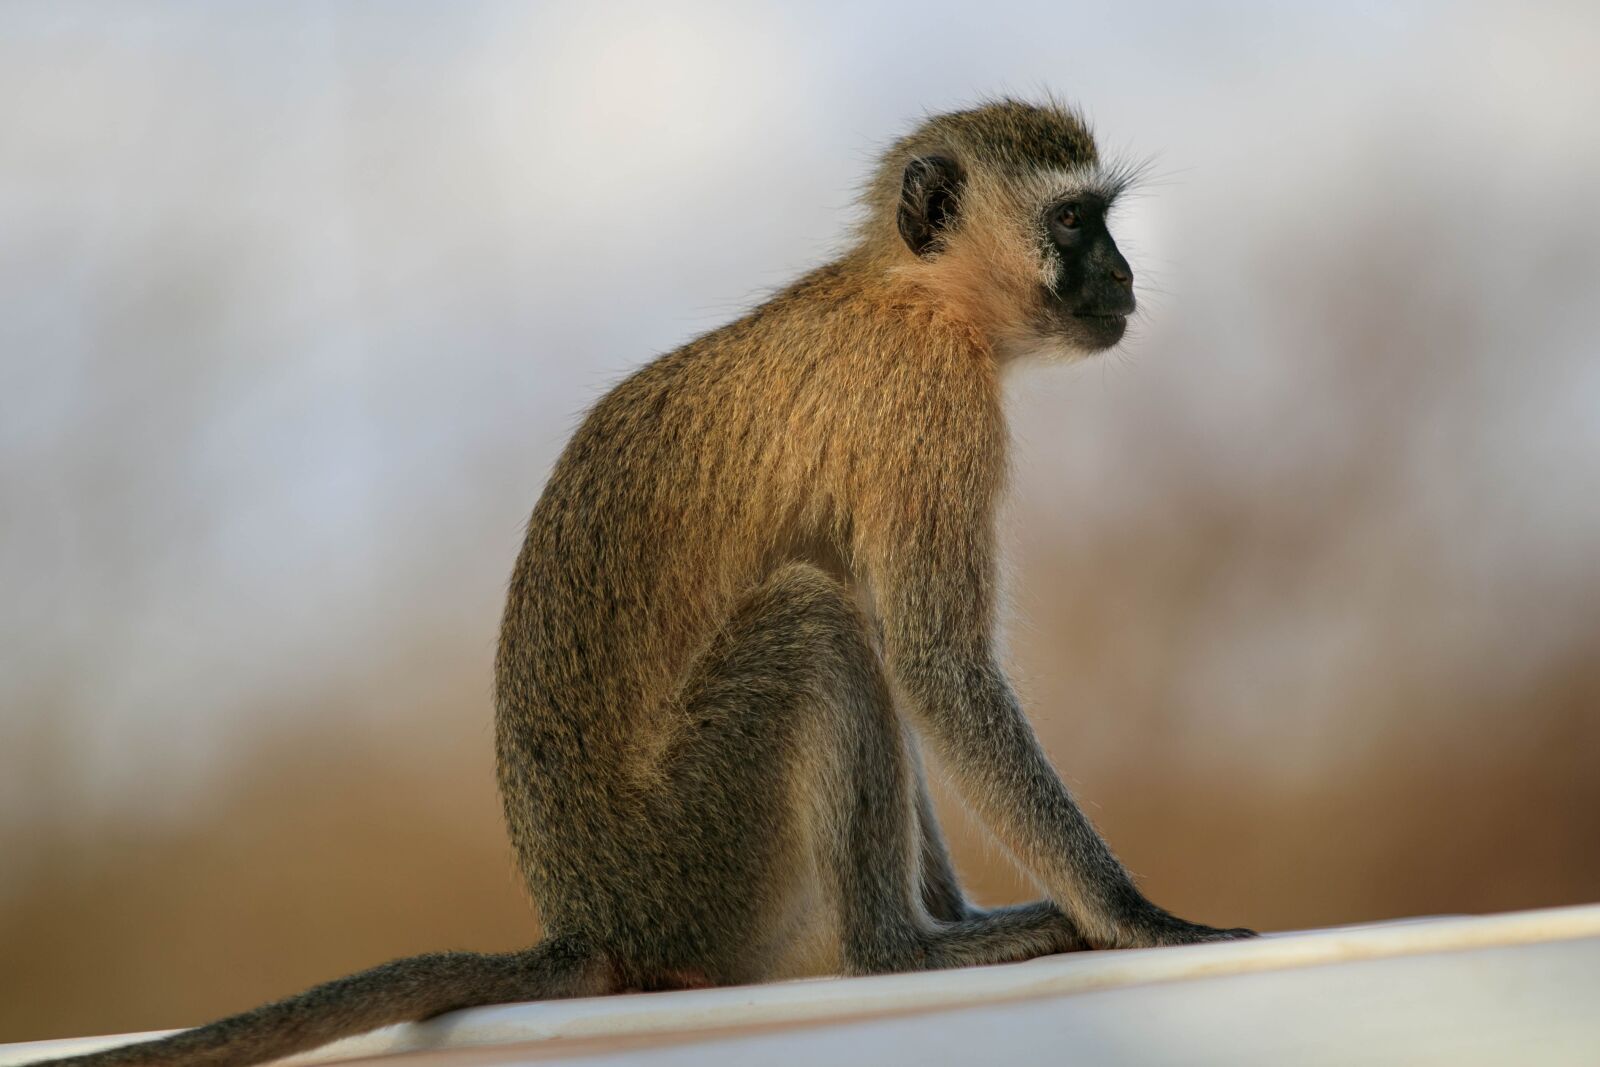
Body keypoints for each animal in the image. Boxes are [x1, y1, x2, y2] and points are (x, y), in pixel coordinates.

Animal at [37, 98, 1252, 1067]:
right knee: (820, 624)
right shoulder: (931, 411)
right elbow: (932, 664)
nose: (1125, 276)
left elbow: (906, 661)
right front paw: (1140, 918)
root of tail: (601, 921)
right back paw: (896, 950)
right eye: (1074, 224)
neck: (912, 294)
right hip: (706, 859)